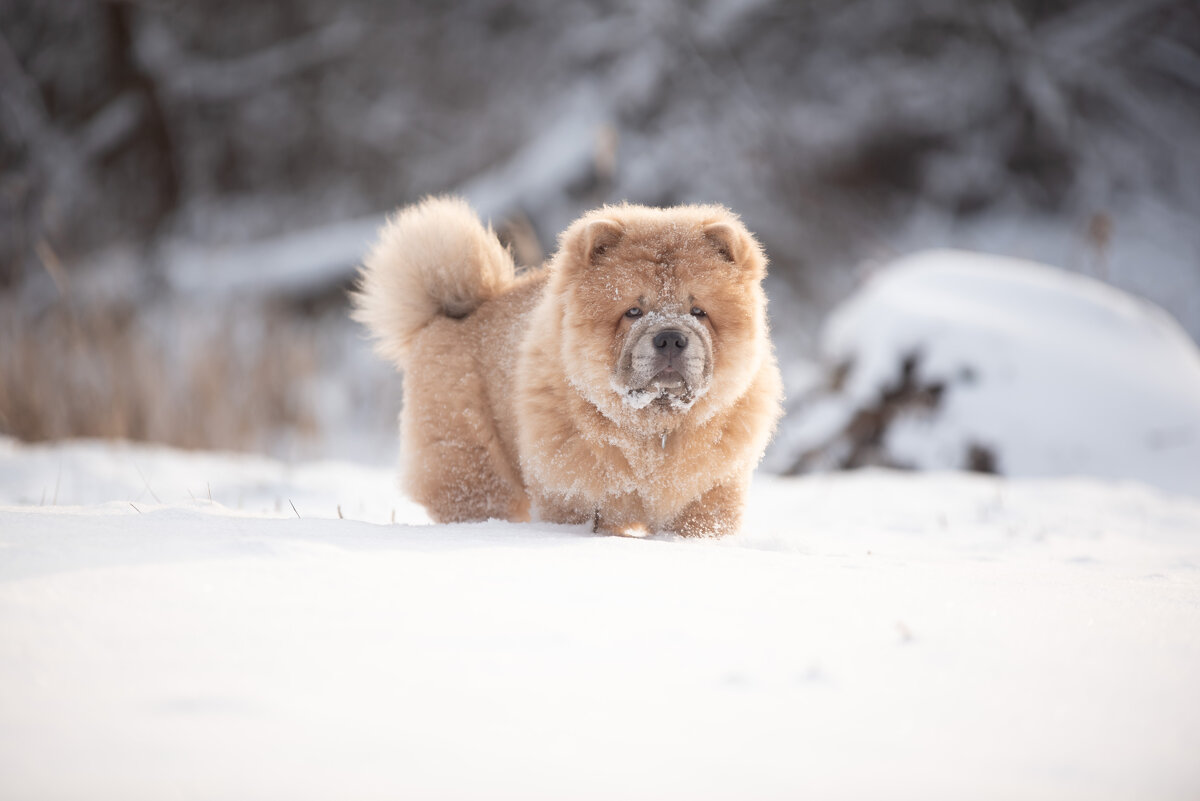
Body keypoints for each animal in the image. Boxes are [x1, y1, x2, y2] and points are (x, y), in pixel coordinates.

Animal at [352, 197, 787, 537]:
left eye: (699, 311)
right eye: (632, 311)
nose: (669, 338)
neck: (655, 432)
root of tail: (457, 309)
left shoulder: (708, 497)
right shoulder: (571, 494)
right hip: (473, 467)